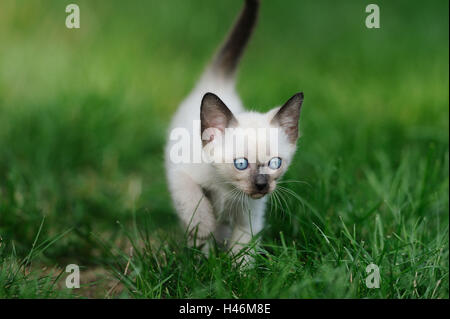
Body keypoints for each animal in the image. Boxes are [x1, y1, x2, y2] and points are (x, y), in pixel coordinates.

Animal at [163, 0, 304, 262]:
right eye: (240, 164)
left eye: (275, 163)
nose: (261, 185)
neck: (228, 191)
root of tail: (219, 84)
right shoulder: (181, 174)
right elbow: (195, 206)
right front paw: (203, 233)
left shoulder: (250, 215)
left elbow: (243, 250)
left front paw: (235, 271)